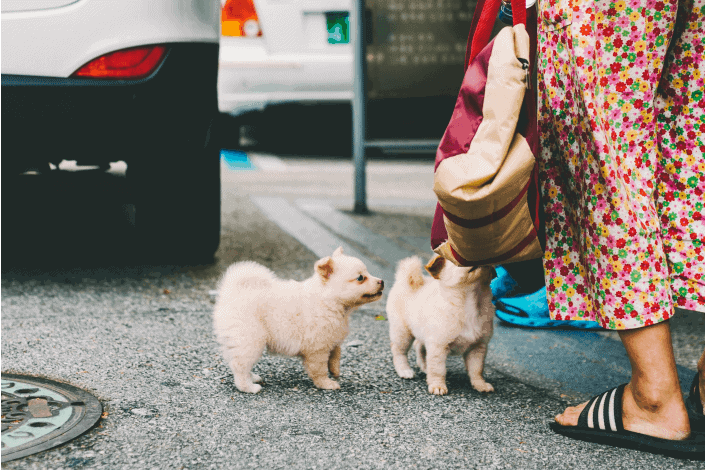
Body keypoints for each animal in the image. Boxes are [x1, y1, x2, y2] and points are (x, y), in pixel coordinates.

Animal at [212, 248, 382, 394]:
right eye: (360, 278)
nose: (382, 281)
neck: (329, 301)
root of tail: (231, 294)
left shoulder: (333, 340)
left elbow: (335, 356)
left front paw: (335, 371)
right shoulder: (318, 349)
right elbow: (319, 370)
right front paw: (326, 384)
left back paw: (253, 377)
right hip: (251, 340)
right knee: (239, 365)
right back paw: (249, 387)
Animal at [384, 255, 496, 394]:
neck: (470, 303)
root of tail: (403, 281)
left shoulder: (478, 347)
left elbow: (477, 369)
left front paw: (480, 384)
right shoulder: (438, 346)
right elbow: (438, 370)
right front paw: (438, 385)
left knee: (419, 346)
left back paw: (424, 367)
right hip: (403, 333)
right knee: (399, 351)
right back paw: (404, 370)